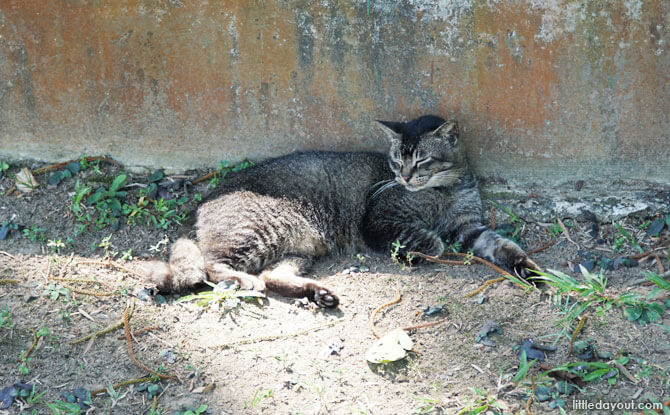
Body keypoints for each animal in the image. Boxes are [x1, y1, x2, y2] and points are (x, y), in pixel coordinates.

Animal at [146, 115, 540, 308]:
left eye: (422, 159)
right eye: (396, 160)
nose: (405, 176)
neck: (444, 190)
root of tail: (202, 203)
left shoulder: (471, 226)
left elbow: (504, 247)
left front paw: (531, 270)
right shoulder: (378, 221)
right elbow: (431, 241)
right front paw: (425, 246)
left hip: (296, 250)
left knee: (273, 276)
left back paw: (317, 294)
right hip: (256, 233)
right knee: (212, 266)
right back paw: (245, 281)